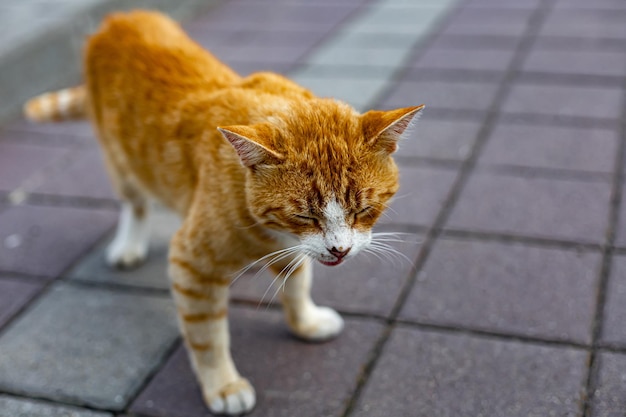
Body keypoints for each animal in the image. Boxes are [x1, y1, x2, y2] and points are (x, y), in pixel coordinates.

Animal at [24, 9, 424, 416]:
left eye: (364, 209)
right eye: (305, 216)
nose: (339, 250)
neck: (274, 232)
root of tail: (120, 17)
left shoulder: (294, 250)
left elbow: (297, 287)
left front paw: (306, 322)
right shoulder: (191, 264)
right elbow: (207, 337)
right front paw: (224, 386)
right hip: (122, 165)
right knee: (134, 203)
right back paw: (129, 244)